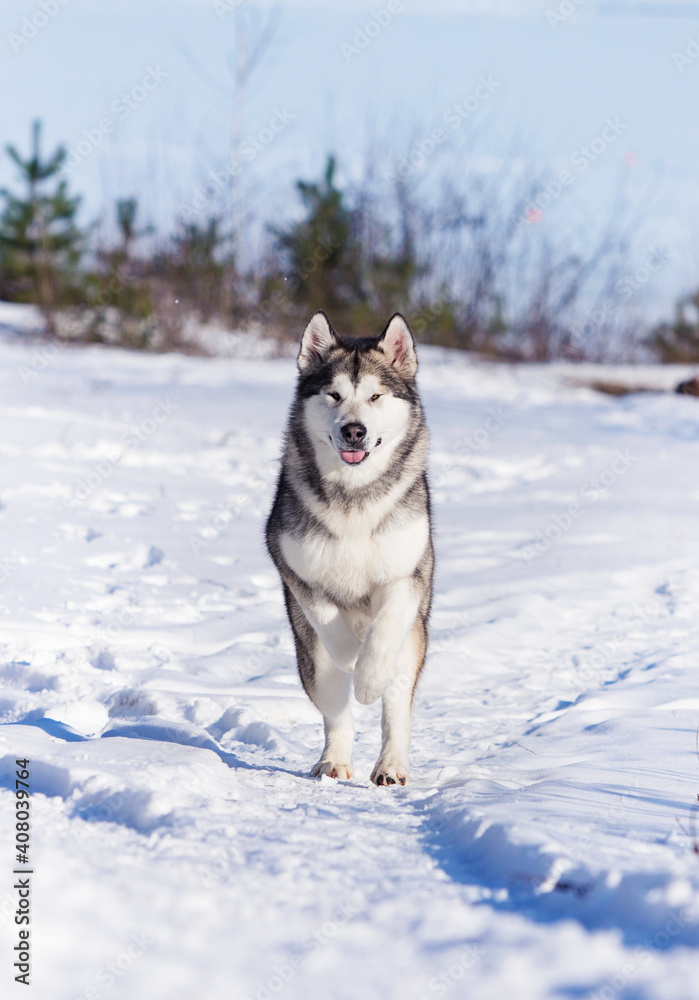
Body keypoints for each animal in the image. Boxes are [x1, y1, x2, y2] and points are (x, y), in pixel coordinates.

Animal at [266, 316, 434, 784]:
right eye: (334, 394)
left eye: (375, 395)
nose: (353, 430)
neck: (354, 495)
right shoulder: (294, 565)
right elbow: (329, 621)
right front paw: (349, 656)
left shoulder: (406, 575)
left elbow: (383, 632)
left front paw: (368, 678)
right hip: (307, 655)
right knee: (335, 708)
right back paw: (334, 761)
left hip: (414, 642)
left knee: (396, 705)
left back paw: (391, 766)